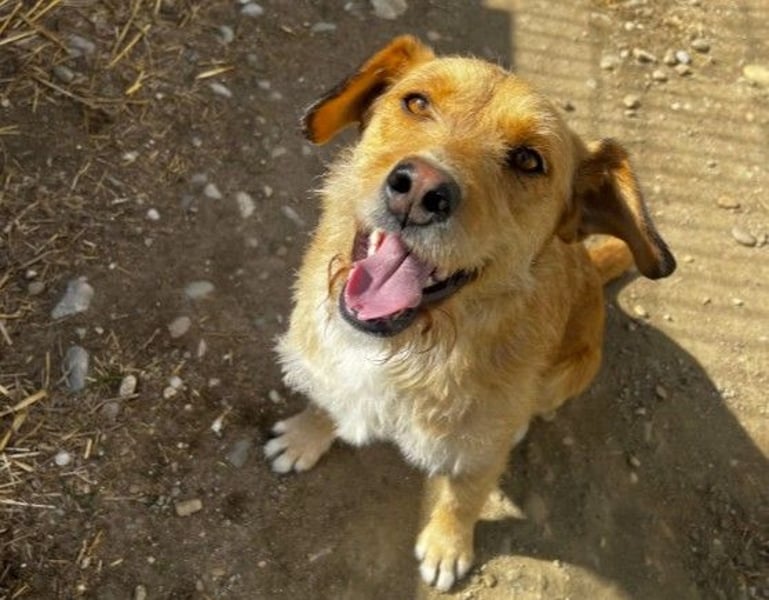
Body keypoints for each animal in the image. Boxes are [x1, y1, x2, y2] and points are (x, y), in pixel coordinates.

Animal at [264, 36, 675, 591]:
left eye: (528, 160)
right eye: (416, 102)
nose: (420, 189)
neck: (410, 347)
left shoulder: (479, 451)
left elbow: (463, 498)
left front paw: (446, 546)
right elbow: (326, 400)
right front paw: (307, 436)